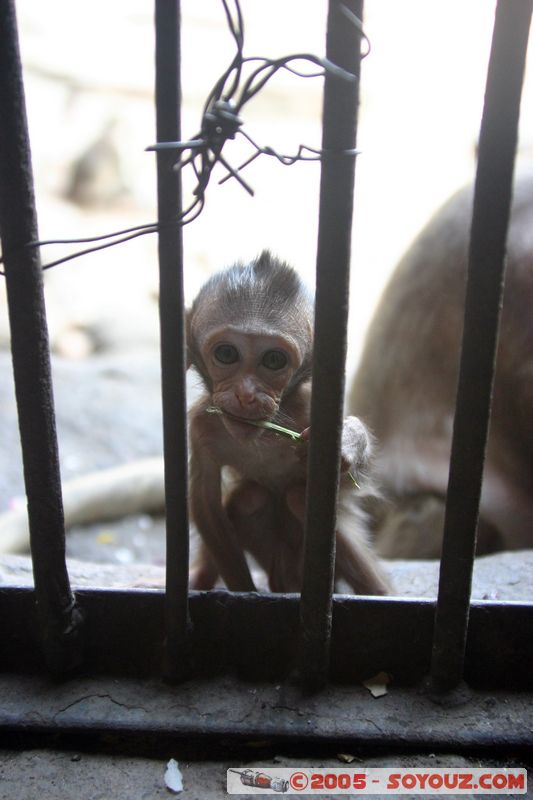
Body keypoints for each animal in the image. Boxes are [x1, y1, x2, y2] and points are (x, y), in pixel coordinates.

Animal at [186, 250, 390, 594]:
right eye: (226, 354)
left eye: (273, 360)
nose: (246, 394)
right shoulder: (200, 424)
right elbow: (206, 501)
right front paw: (243, 590)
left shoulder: (312, 407)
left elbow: (352, 486)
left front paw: (348, 440)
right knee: (249, 498)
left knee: (297, 497)